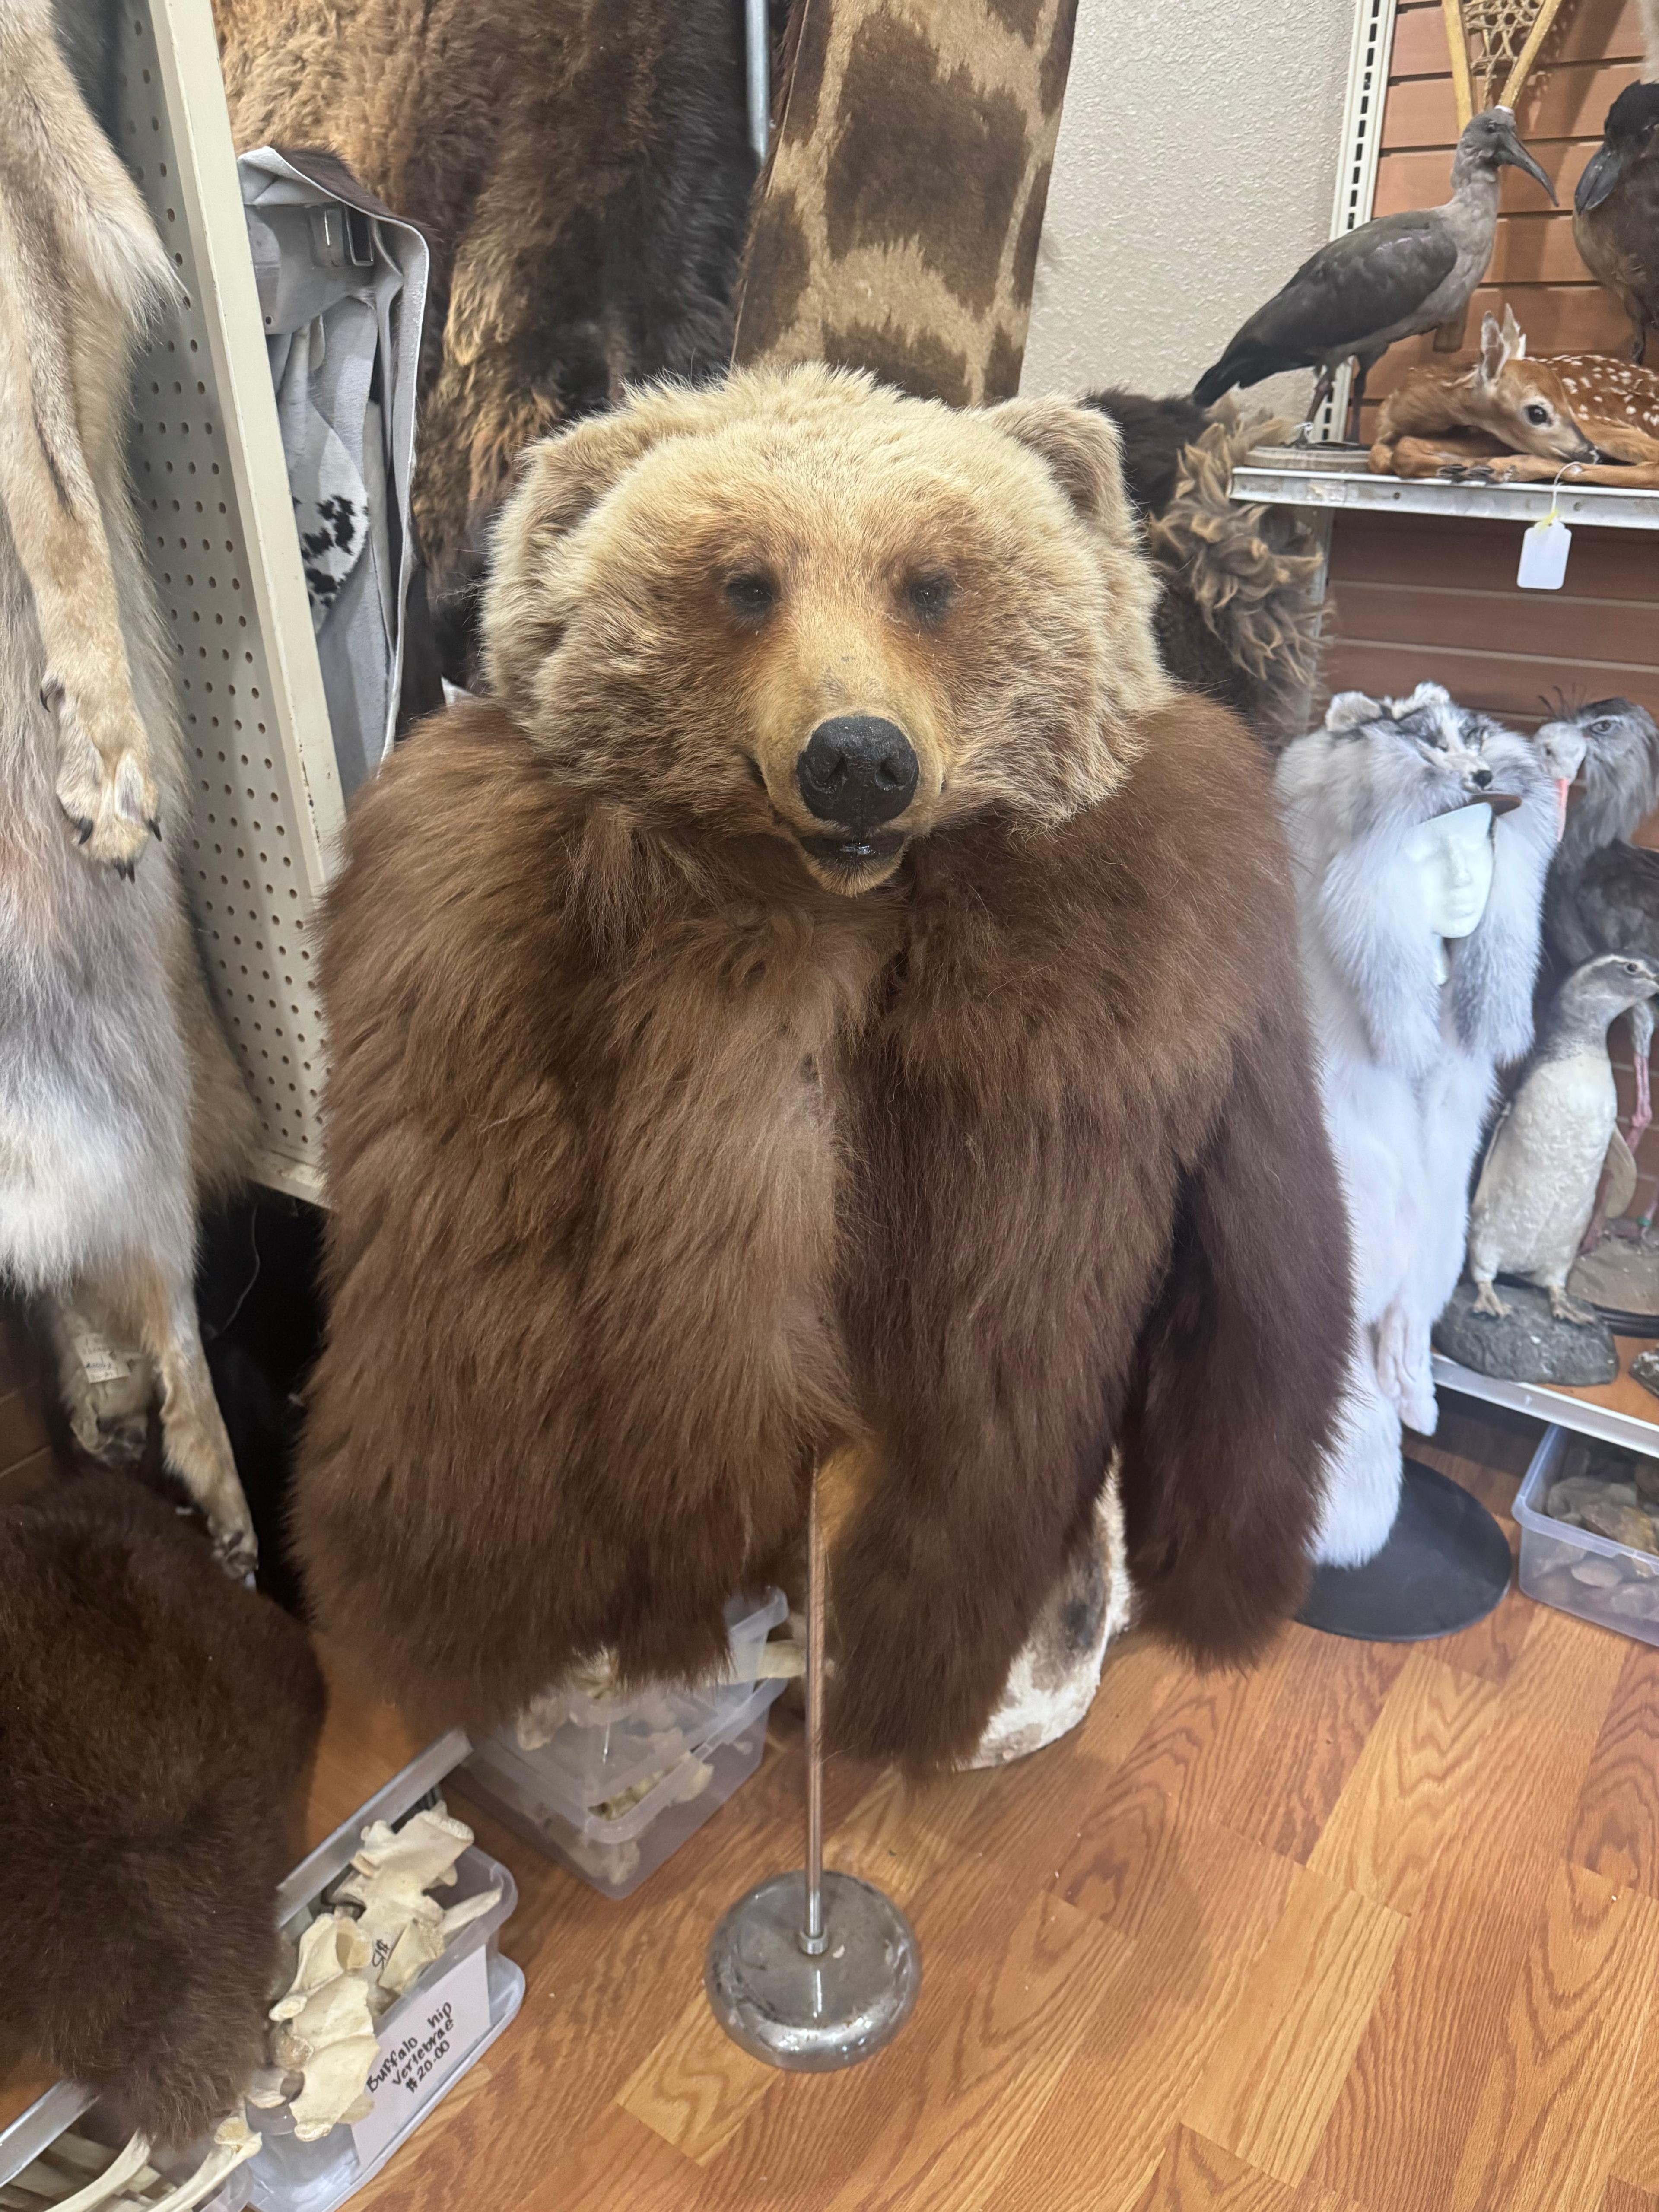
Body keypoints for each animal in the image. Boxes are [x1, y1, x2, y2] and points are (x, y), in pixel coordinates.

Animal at [294, 365, 1352, 1771]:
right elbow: (473, 1283)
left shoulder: (1174, 937)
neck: (855, 905)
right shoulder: (475, 946)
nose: (857, 757)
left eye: (931, 583)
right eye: (744, 581)